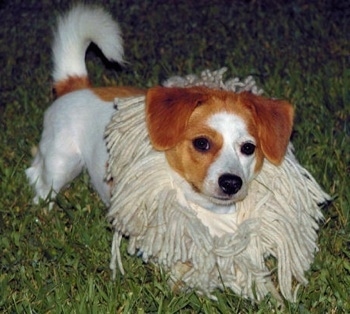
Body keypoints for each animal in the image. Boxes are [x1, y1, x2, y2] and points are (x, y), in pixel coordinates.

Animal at [25, 4, 292, 215]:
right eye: (201, 143)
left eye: (248, 148)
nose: (231, 183)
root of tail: (76, 85)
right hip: (62, 161)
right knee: (44, 184)